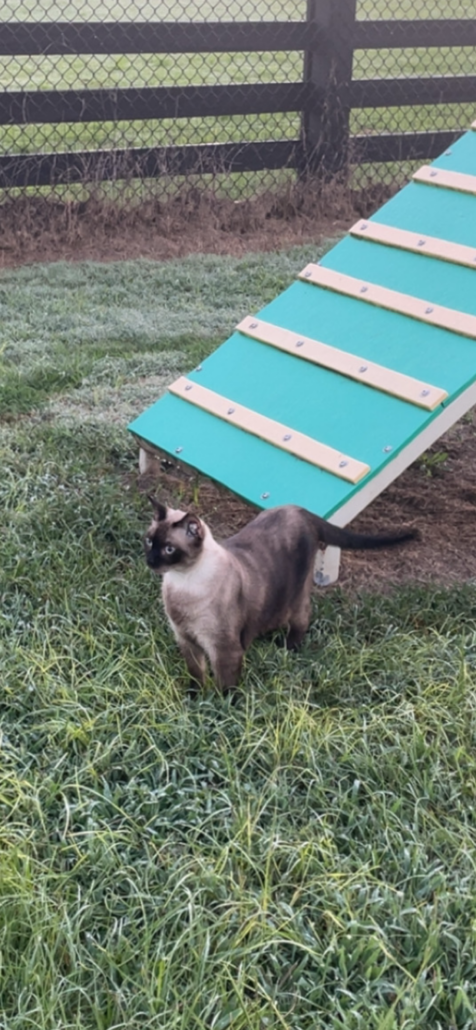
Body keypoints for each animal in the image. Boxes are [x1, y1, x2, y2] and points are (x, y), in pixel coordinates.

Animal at [144, 497, 417, 693]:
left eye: (169, 549)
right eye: (149, 541)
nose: (150, 561)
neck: (183, 583)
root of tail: (300, 509)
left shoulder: (223, 649)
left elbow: (226, 688)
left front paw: (221, 712)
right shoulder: (186, 640)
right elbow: (196, 676)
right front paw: (195, 699)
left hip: (296, 597)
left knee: (302, 619)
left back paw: (289, 649)